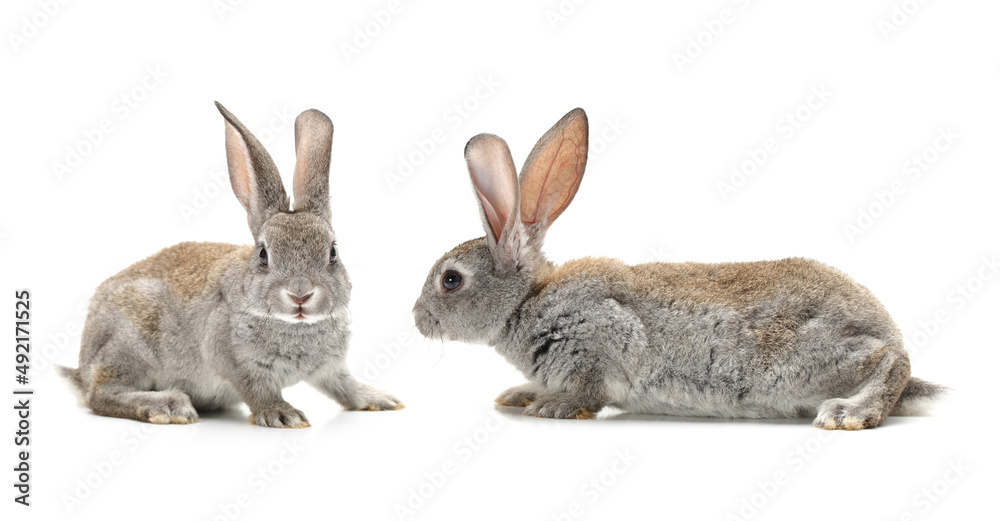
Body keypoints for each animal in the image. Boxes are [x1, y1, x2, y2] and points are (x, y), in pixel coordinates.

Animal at [58, 102, 403, 427]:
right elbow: (257, 390)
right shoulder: (232, 359)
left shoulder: (330, 370)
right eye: (263, 255)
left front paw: (382, 400)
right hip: (128, 347)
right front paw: (283, 415)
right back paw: (168, 406)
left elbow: (344, 387)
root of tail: (83, 366)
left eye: (332, 253)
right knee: (101, 394)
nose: (301, 294)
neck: (295, 325)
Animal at [412, 107, 945, 430]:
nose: (417, 320)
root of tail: (882, 326)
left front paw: (552, 406)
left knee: (891, 360)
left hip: (803, 365)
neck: (529, 300)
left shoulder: (600, 337)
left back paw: (850, 413)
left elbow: (589, 388)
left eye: (451, 279)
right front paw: (519, 395)